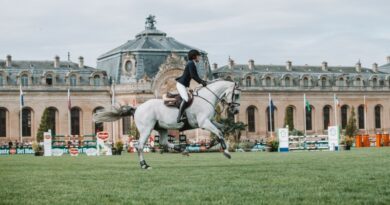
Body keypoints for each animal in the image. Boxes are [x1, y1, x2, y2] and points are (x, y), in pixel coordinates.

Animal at [93, 79, 241, 169]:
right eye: (237, 94)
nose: (235, 110)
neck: (206, 98)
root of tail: (137, 108)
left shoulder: (210, 121)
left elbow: (222, 129)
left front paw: (212, 145)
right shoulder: (204, 122)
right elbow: (219, 132)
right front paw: (226, 152)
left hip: (162, 128)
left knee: (164, 142)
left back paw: (184, 150)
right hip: (147, 129)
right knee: (139, 146)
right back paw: (144, 165)